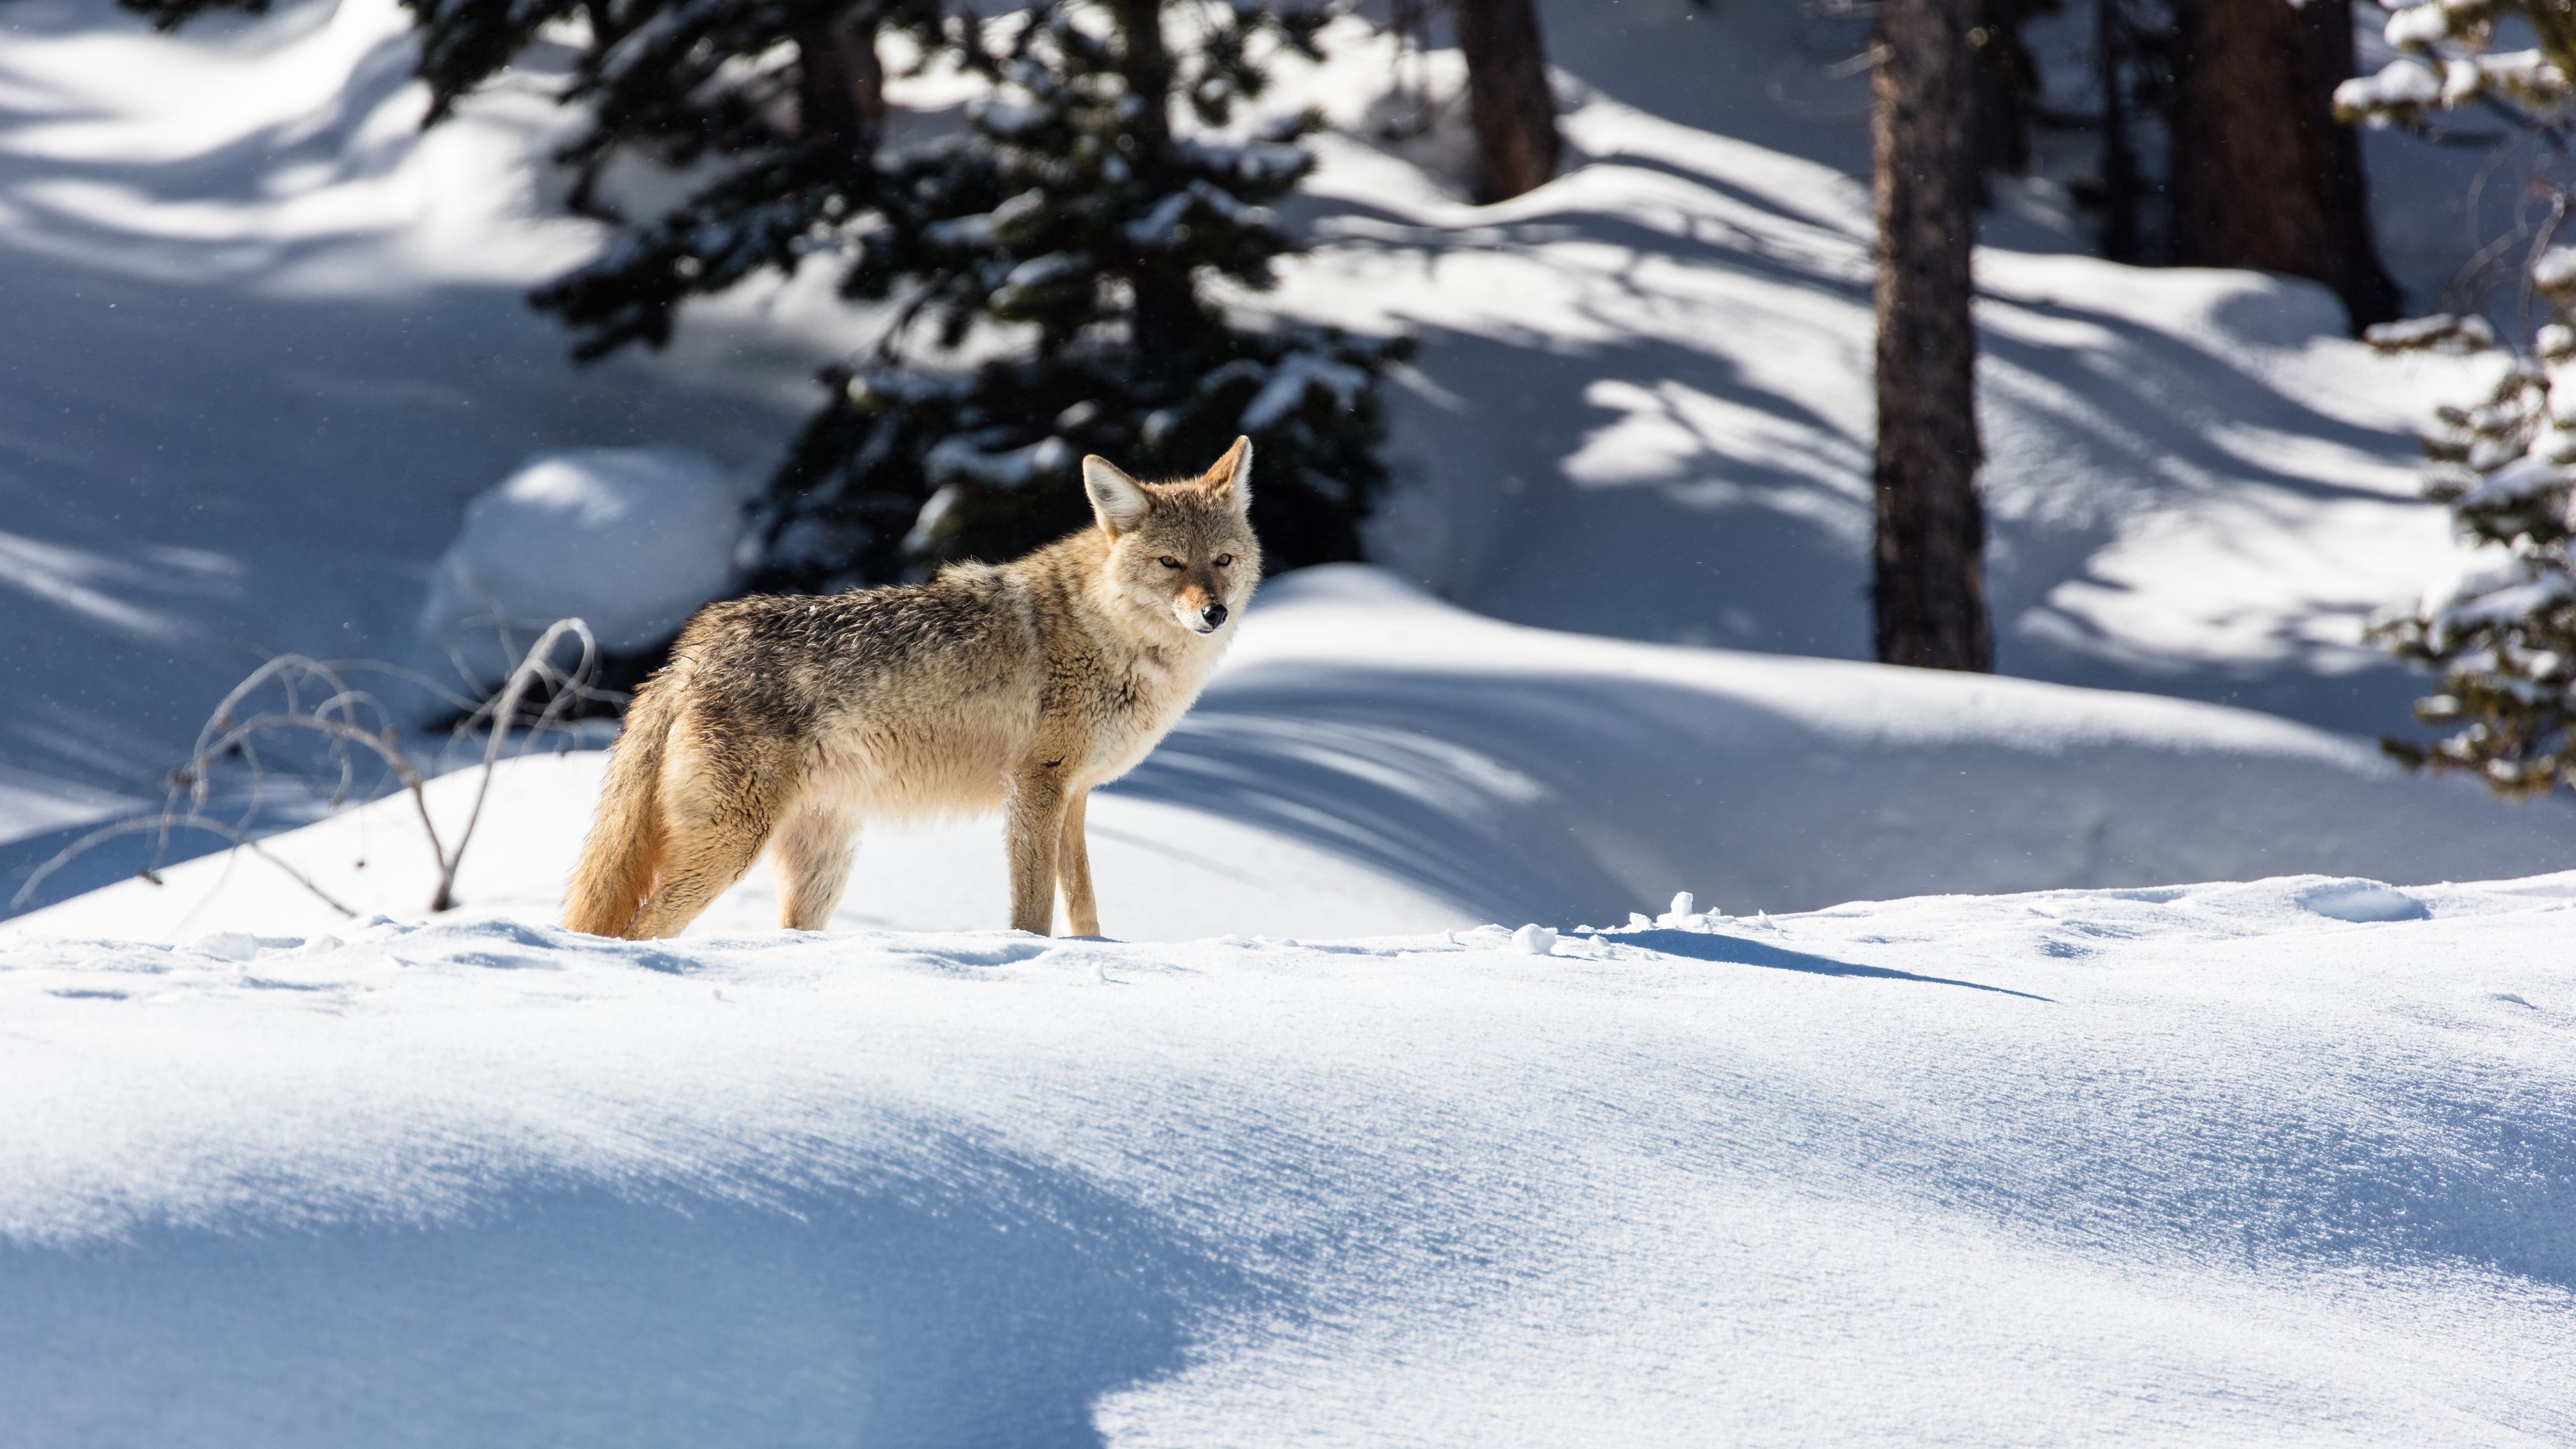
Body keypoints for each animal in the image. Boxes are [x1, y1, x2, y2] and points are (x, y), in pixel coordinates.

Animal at [562, 438, 1262, 940]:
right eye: (1171, 563)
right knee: (638, 929)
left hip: (819, 869)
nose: (1214, 613)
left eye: (1222, 561)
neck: (1111, 635)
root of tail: (689, 656)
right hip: (731, 846)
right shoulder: (1036, 786)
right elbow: (1033, 912)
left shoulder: (1076, 795)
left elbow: (1085, 912)